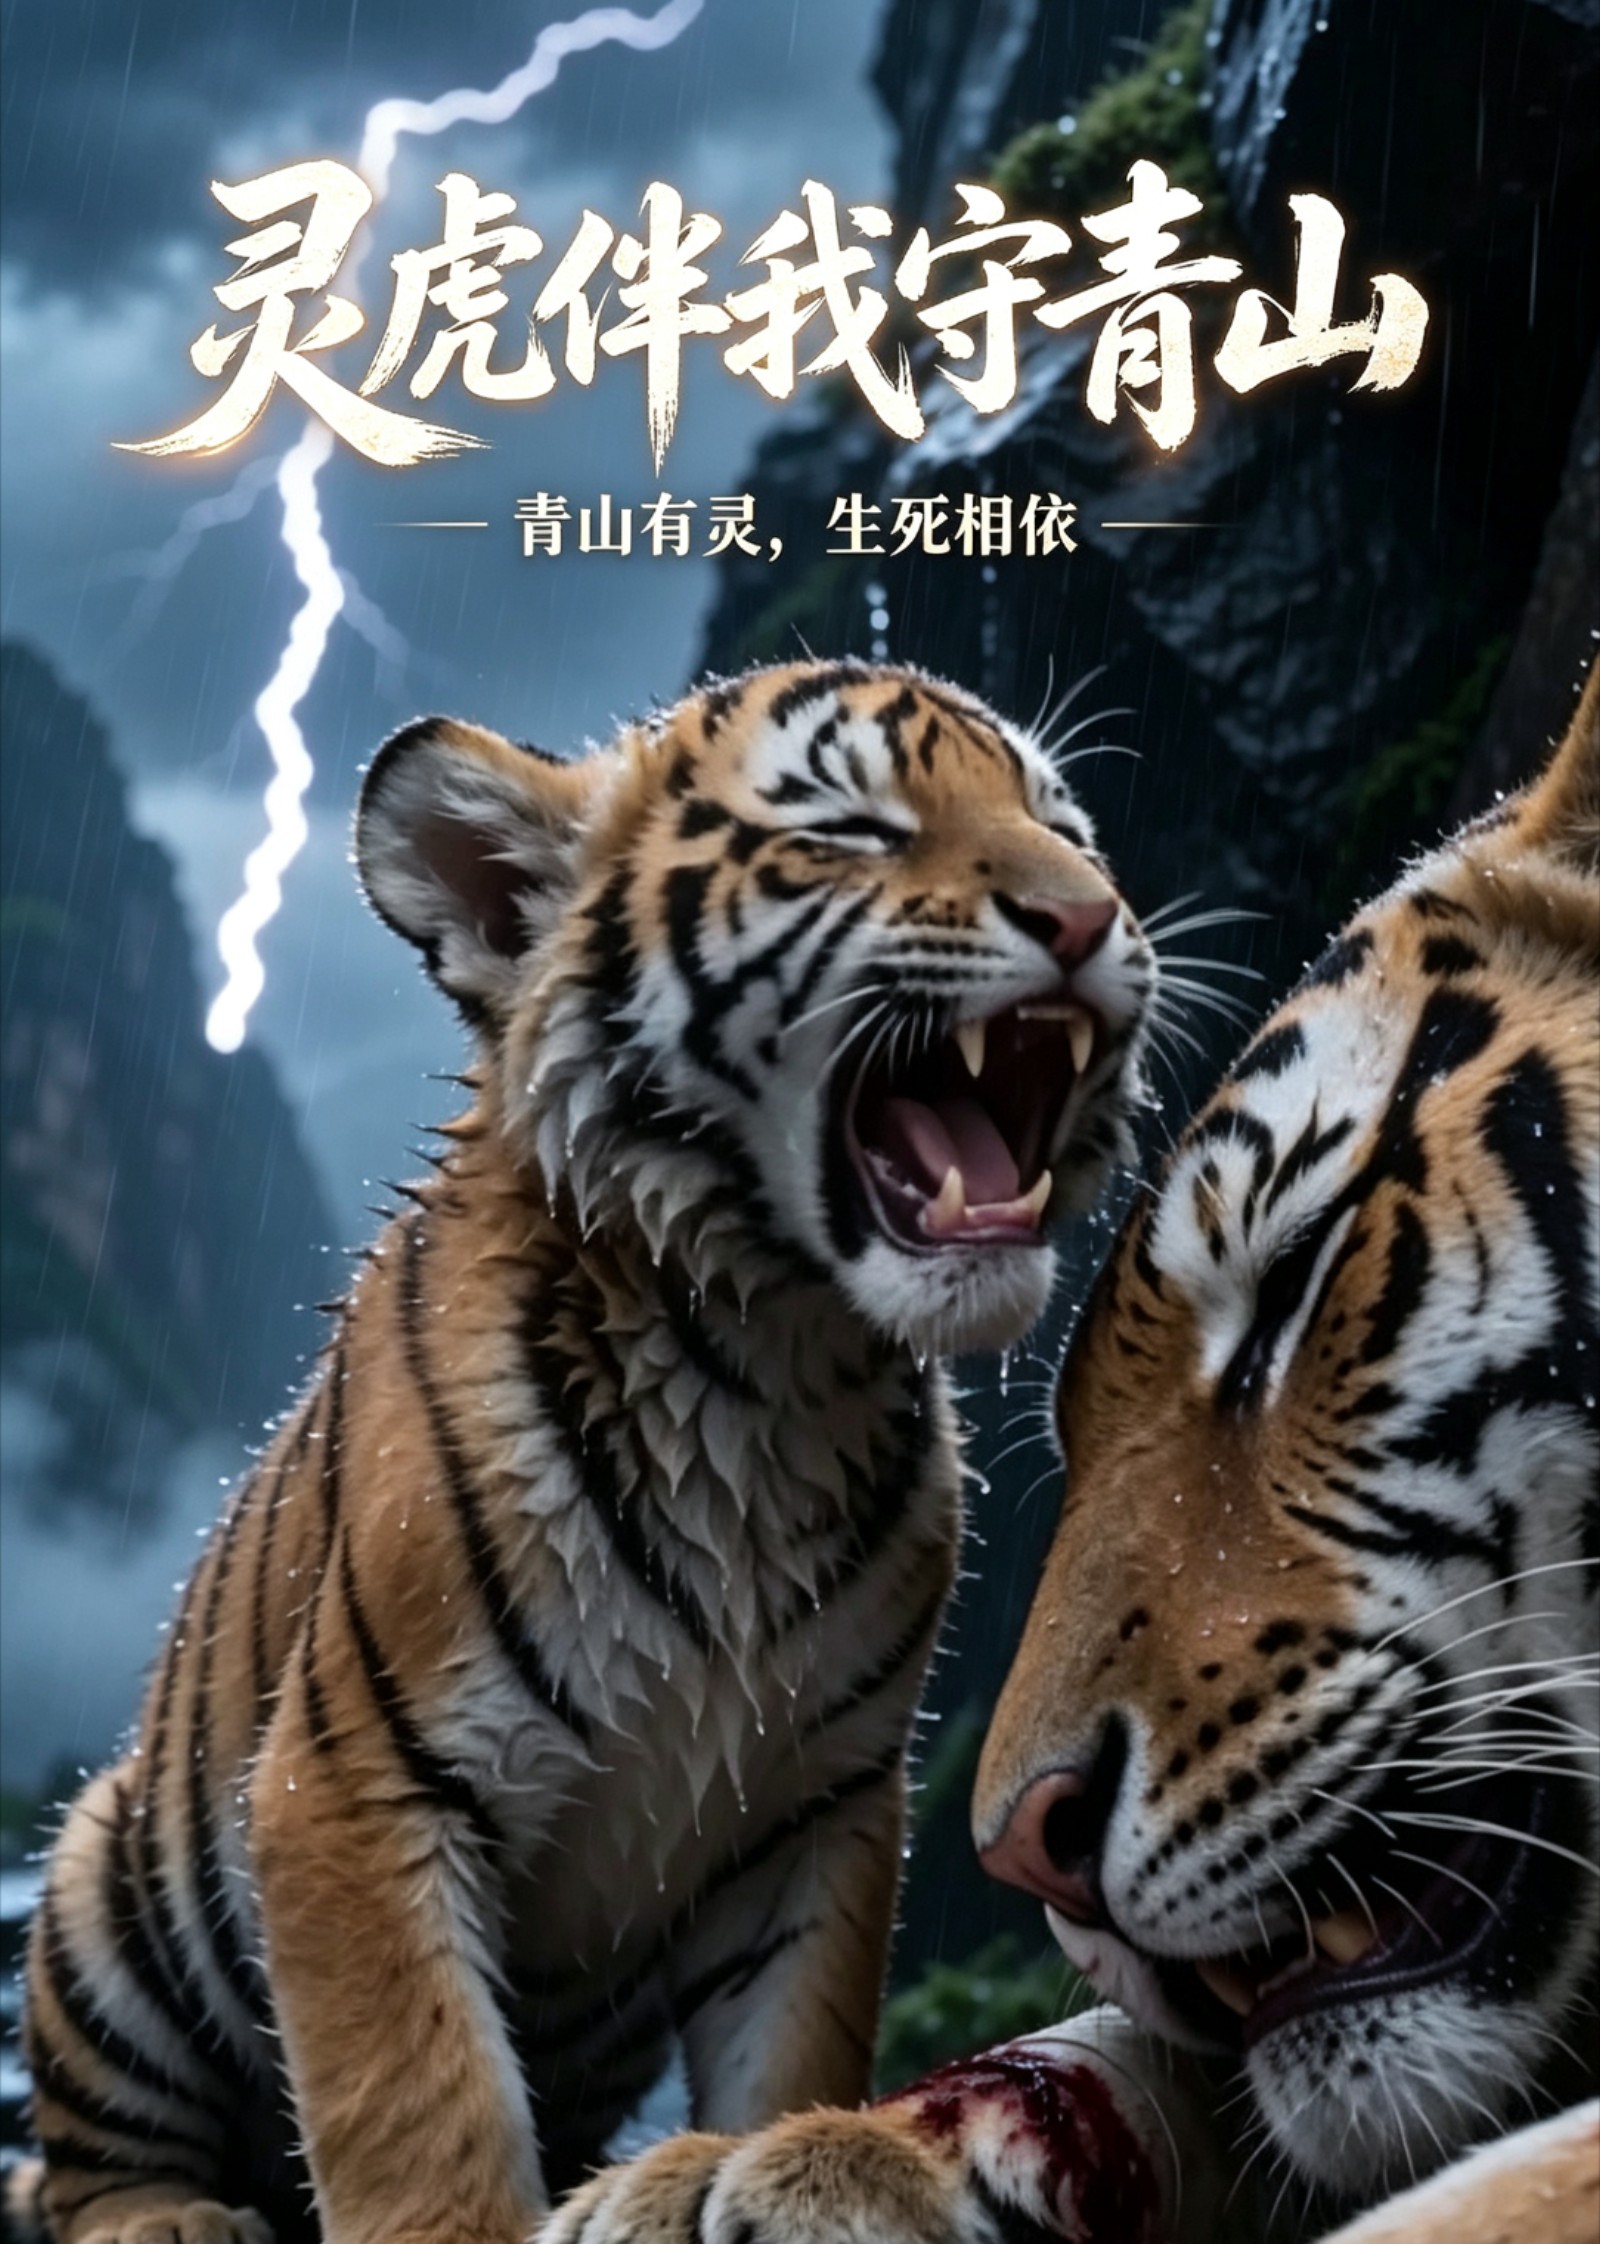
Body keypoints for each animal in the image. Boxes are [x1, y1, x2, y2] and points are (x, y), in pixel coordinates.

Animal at [12, 656, 1160, 2244]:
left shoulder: (816, 1815)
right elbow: (419, 2119)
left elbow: (787, 2062)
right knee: (92, 2156)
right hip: (102, 1870)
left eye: (1066, 826)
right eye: (852, 831)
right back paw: (170, 2216)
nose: (1093, 916)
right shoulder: (349, 1786)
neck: (768, 1373)